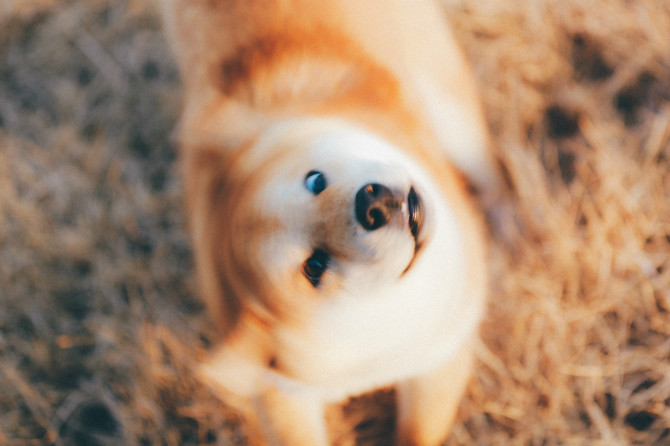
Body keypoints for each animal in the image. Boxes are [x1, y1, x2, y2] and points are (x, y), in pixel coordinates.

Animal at [161, 0, 498, 442]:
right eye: (315, 267)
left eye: (315, 180)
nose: (374, 204)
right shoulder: (279, 395)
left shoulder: (440, 359)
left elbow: (420, 432)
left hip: (454, 115)